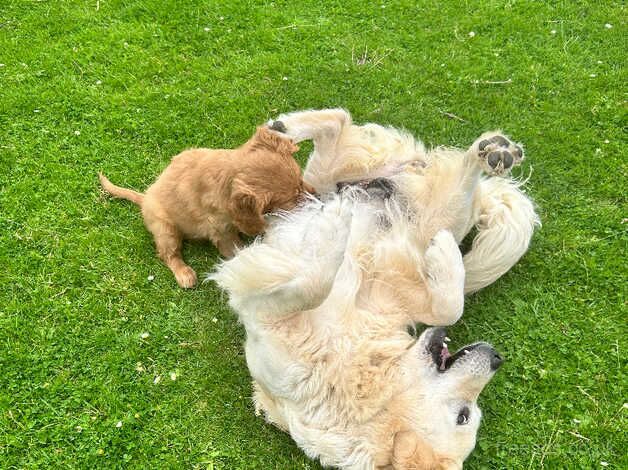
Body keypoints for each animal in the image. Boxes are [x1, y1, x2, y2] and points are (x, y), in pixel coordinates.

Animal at [100, 124, 314, 286]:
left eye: (301, 181)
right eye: (293, 199)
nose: (318, 195)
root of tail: (144, 198)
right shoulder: (222, 232)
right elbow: (238, 250)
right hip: (165, 229)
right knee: (168, 254)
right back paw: (184, 274)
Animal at [211, 109, 540, 466]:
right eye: (464, 416)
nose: (496, 357)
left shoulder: (269, 318)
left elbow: (317, 283)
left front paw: (335, 228)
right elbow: (446, 306)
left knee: (339, 126)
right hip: (328, 185)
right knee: (338, 123)